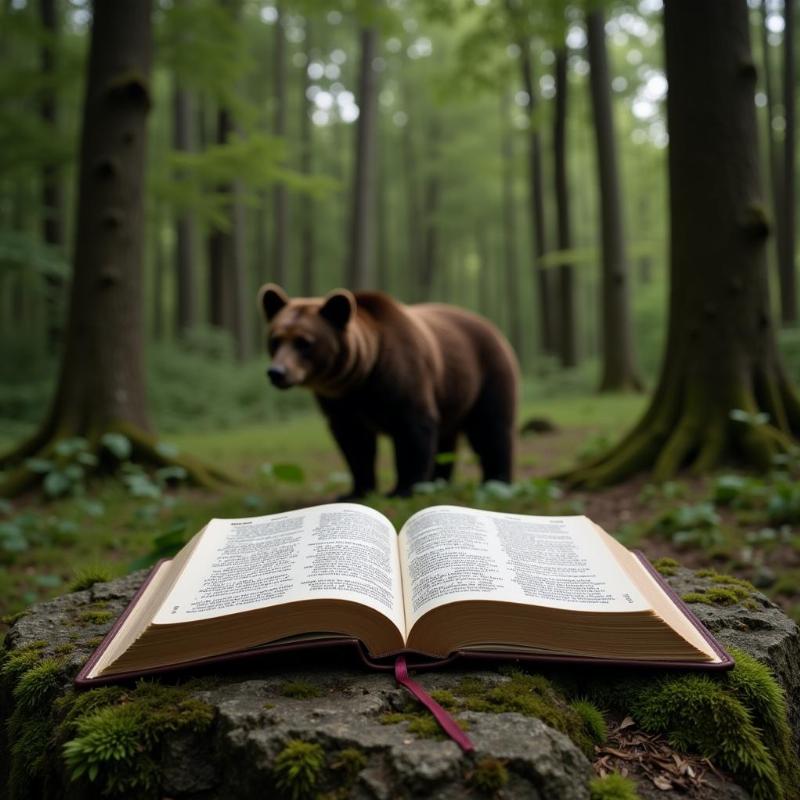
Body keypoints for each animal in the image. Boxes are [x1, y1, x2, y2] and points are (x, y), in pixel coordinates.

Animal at [256, 284, 520, 500]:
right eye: (275, 339)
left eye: (304, 342)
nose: (276, 372)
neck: (361, 377)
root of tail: (492, 326)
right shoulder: (339, 403)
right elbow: (354, 444)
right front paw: (355, 491)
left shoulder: (403, 379)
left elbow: (413, 432)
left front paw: (403, 489)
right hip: (452, 393)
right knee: (447, 440)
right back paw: (439, 481)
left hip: (488, 373)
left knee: (491, 429)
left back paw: (496, 482)